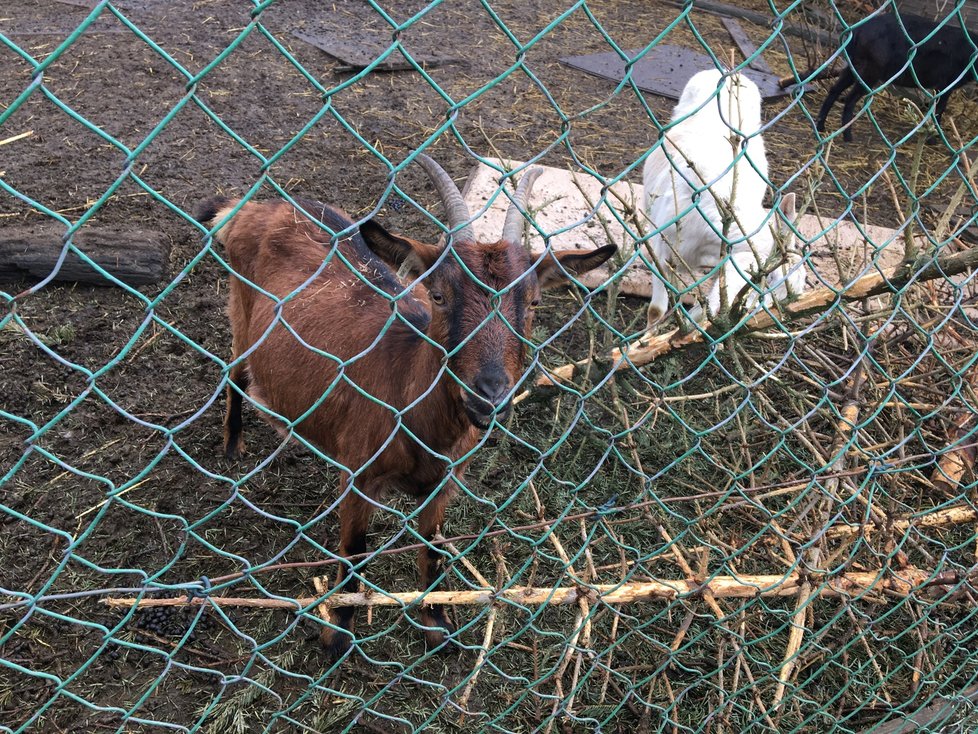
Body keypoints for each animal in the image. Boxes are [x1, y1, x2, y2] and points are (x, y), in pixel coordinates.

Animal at [194, 154, 612, 656]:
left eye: (533, 302)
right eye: (438, 295)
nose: (488, 394)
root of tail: (257, 206)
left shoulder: (444, 483)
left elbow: (432, 547)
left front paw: (436, 623)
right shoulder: (358, 474)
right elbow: (355, 549)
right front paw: (338, 632)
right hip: (240, 309)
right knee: (235, 372)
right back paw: (232, 445)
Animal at [636, 70, 804, 330]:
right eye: (769, 277)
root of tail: (728, 72)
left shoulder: (721, 261)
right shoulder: (664, 250)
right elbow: (656, 309)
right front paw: (647, 335)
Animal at [812, 12, 972, 142]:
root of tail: (857, 31)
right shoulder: (946, 83)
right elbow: (939, 109)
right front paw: (933, 138)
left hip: (854, 66)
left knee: (835, 90)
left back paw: (821, 127)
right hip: (870, 71)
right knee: (851, 98)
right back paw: (848, 137)